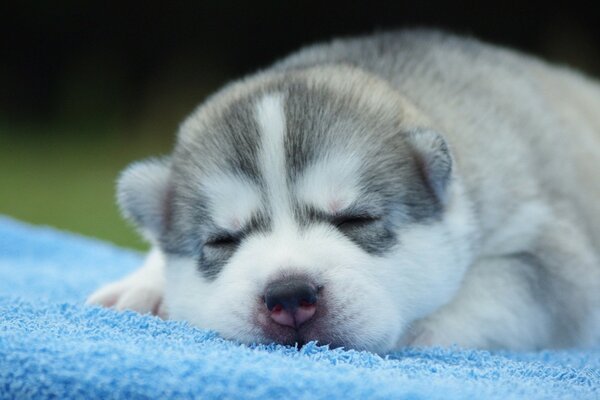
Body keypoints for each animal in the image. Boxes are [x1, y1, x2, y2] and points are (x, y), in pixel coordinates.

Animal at [86, 30, 600, 354]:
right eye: (222, 241)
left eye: (356, 219)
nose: (290, 294)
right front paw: (143, 285)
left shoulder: (550, 254)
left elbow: (499, 292)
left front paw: (420, 329)